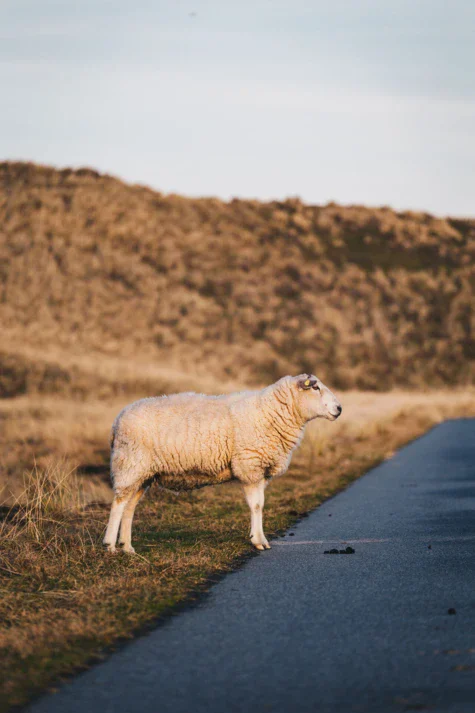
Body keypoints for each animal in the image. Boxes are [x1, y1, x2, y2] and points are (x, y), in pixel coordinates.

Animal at [103, 376, 342, 552]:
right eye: (316, 387)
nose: (339, 408)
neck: (272, 411)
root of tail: (116, 421)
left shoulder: (260, 471)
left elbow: (260, 505)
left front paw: (258, 537)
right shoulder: (250, 466)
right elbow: (257, 505)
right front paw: (259, 540)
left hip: (143, 473)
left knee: (129, 507)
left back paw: (127, 547)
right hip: (130, 464)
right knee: (118, 504)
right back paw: (110, 546)